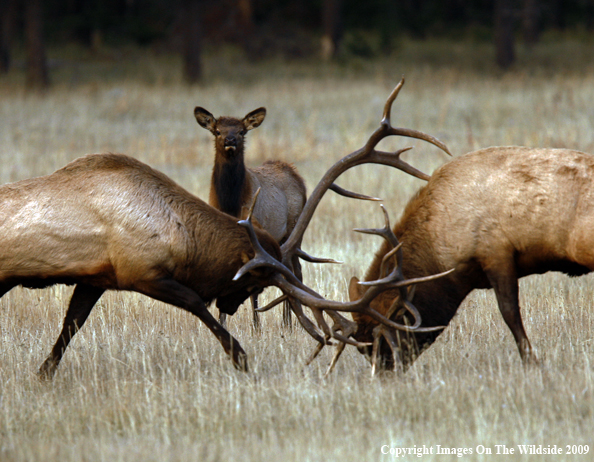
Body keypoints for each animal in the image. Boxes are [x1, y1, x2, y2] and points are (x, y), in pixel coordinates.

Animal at [194, 107, 306, 328]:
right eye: (217, 131)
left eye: (242, 131)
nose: (230, 140)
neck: (230, 204)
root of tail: (295, 173)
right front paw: (222, 321)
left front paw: (256, 327)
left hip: (294, 229)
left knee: (295, 270)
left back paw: (289, 322)